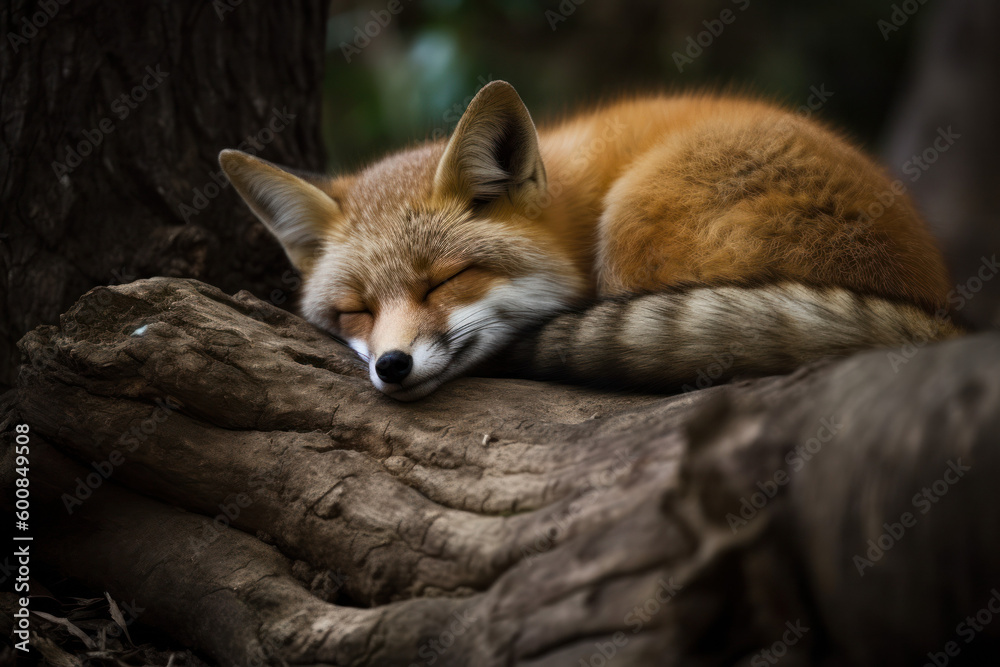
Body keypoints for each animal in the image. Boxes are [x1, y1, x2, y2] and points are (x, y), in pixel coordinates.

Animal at [219, 80, 961, 401]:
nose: (392, 366)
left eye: (446, 279)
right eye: (356, 311)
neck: (573, 211)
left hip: (637, 222)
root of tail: (940, 311)